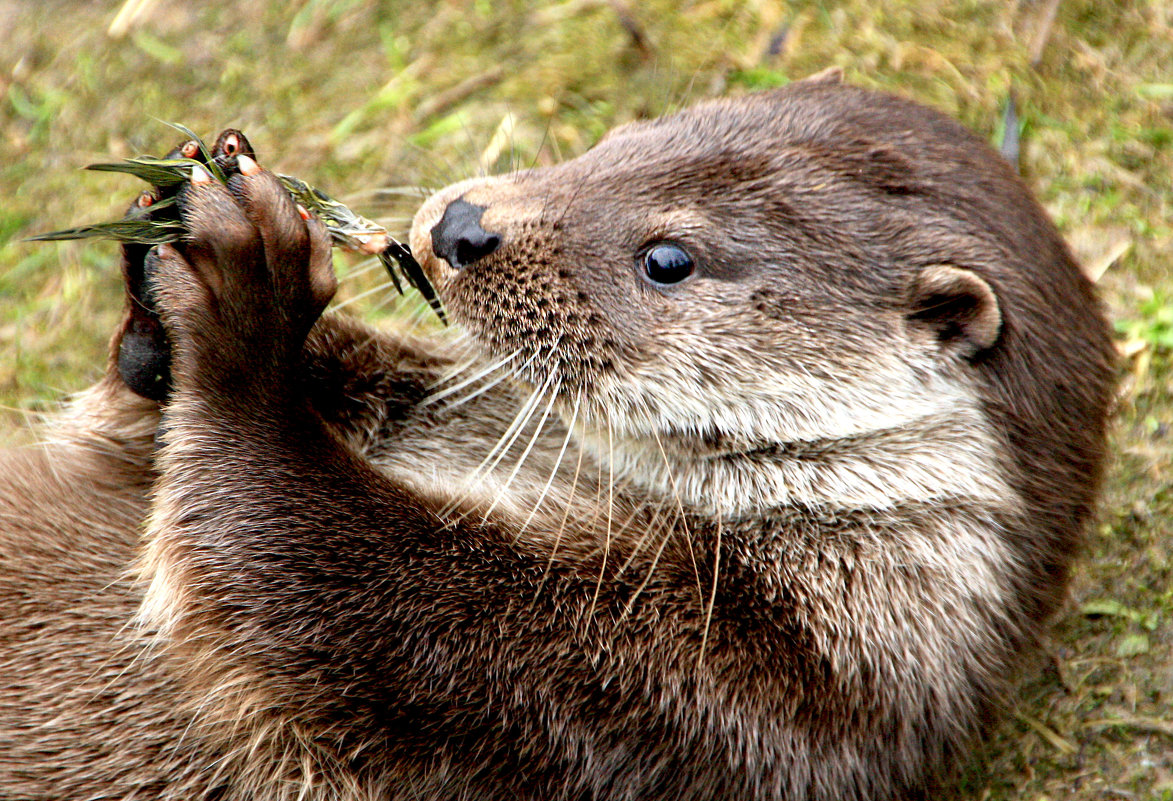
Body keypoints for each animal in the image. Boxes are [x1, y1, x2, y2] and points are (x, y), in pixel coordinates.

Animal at [2, 72, 1116, 797]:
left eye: (668, 258)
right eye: (619, 141)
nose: (458, 226)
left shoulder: (699, 683)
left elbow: (288, 560)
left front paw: (249, 304)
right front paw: (161, 245)